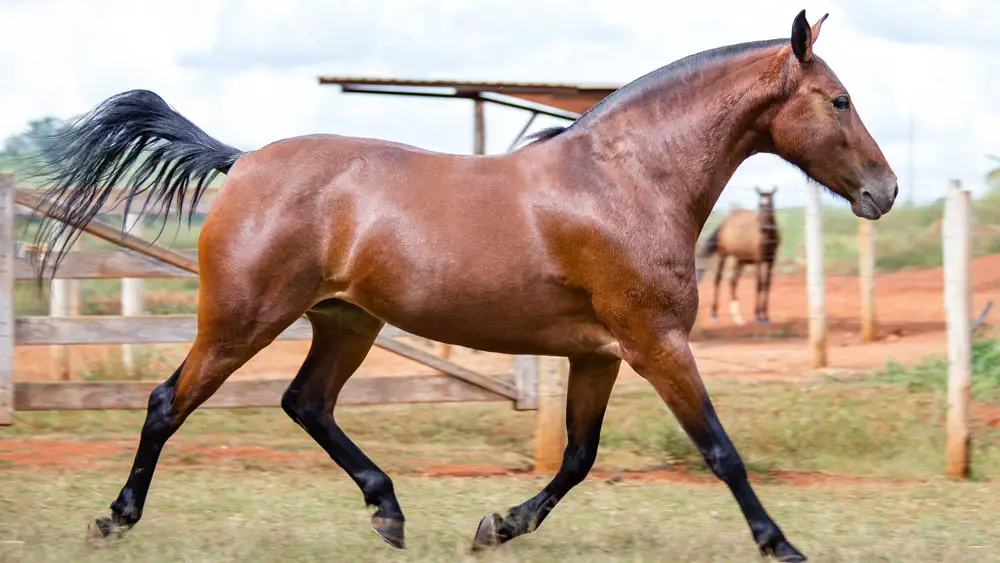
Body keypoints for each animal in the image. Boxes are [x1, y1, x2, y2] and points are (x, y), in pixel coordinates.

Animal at [696, 186, 780, 324]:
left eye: (771, 204)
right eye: (759, 205)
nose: (765, 227)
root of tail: (724, 223)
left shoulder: (771, 261)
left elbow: (766, 285)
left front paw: (765, 315)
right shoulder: (759, 260)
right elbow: (759, 285)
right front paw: (758, 316)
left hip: (739, 260)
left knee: (733, 281)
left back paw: (737, 317)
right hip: (723, 255)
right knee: (718, 280)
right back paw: (714, 314)